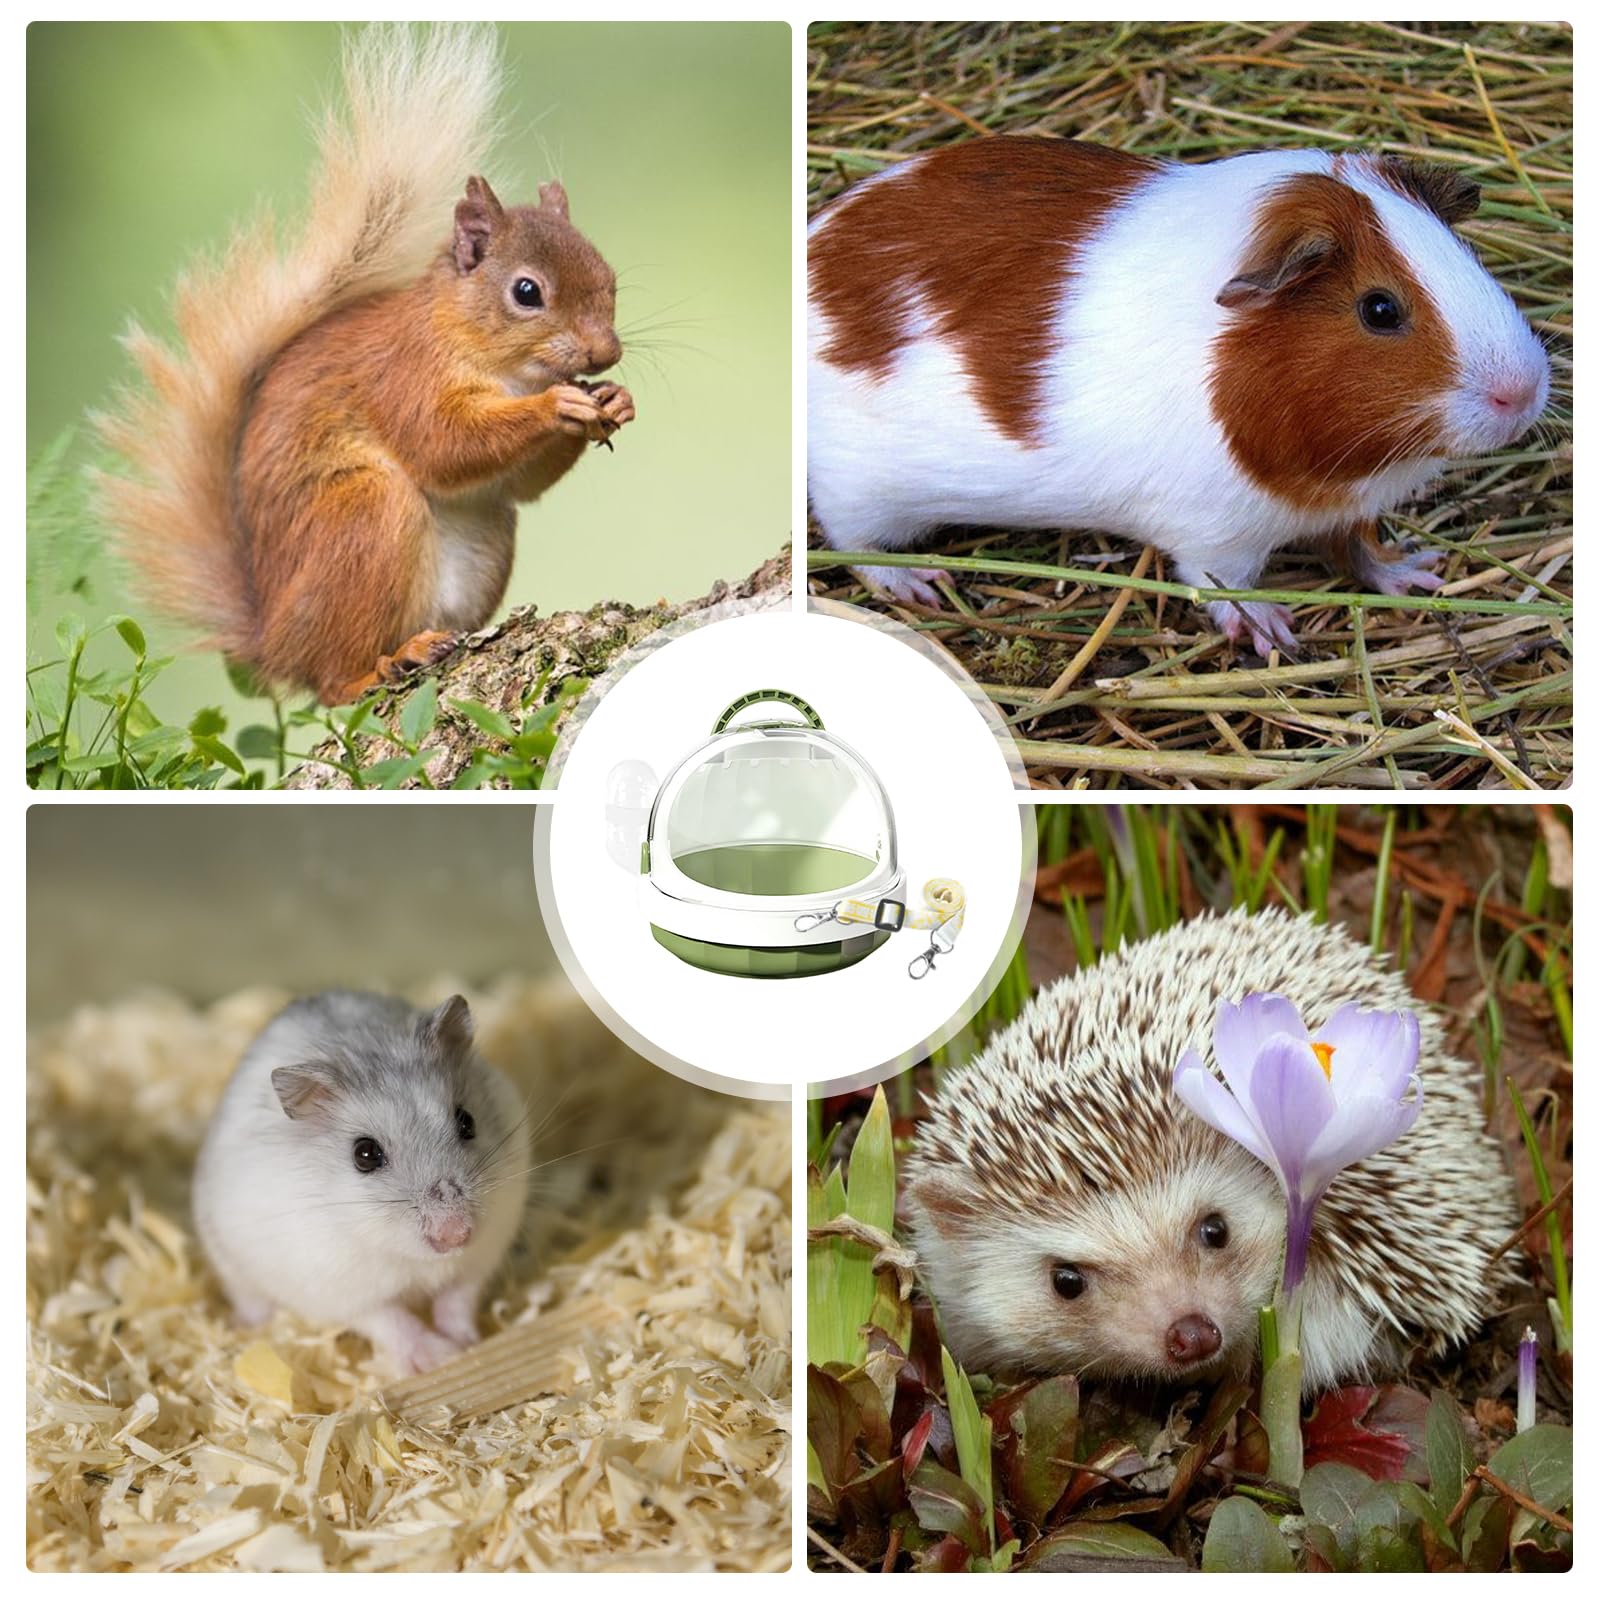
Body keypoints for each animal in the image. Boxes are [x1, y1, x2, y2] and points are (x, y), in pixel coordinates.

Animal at [193, 991, 529, 1375]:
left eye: (467, 1121)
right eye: (364, 1154)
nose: (456, 1235)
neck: (412, 1258)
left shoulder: (483, 1253)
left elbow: (458, 1296)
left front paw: (464, 1341)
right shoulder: (339, 1291)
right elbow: (391, 1319)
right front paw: (439, 1355)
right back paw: (247, 1323)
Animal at [807, 140, 1550, 654]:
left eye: (1467, 257)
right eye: (1379, 309)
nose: (1522, 392)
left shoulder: (1347, 509)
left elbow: (1362, 551)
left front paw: (1423, 577)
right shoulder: (1213, 535)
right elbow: (1222, 589)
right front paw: (1275, 634)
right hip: (865, 495)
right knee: (857, 547)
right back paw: (923, 584)